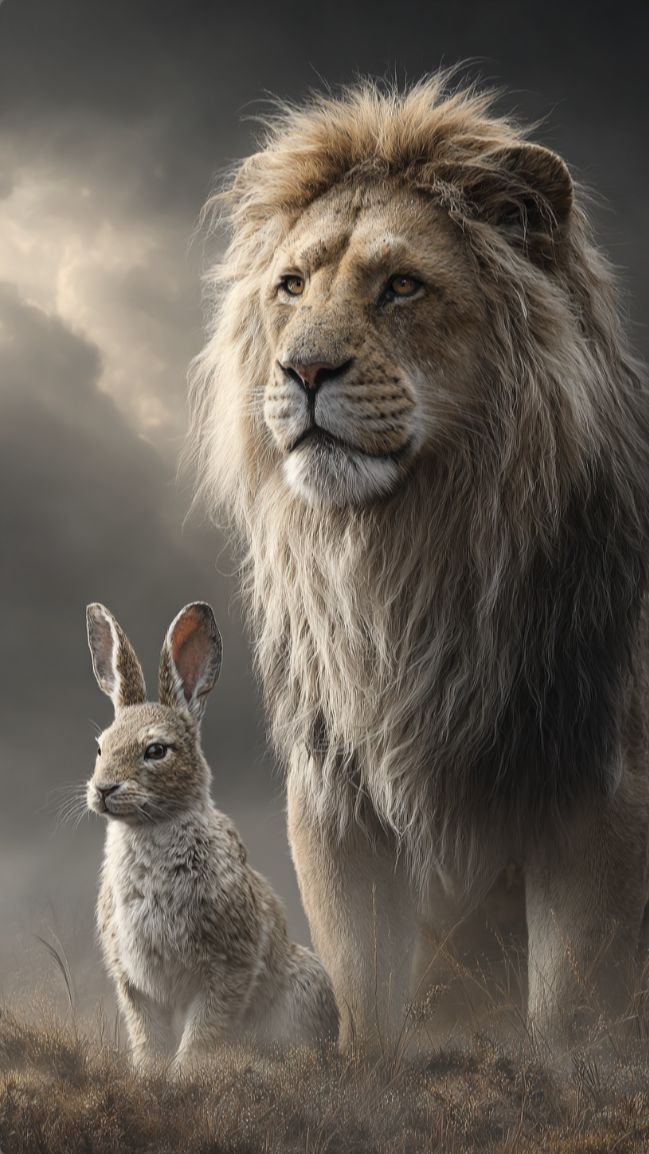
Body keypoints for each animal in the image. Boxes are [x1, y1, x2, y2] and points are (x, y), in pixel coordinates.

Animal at [85, 600, 339, 1071]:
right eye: (100, 747)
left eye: (156, 750)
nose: (104, 789)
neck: (151, 830)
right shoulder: (134, 983)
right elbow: (148, 1035)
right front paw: (148, 1076)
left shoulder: (229, 965)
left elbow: (205, 1031)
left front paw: (185, 1076)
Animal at [187, 74, 649, 1051]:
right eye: (290, 287)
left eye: (401, 286)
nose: (301, 371)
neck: (407, 566)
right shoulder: (334, 801)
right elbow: (367, 1001)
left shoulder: (595, 793)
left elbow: (568, 1014)